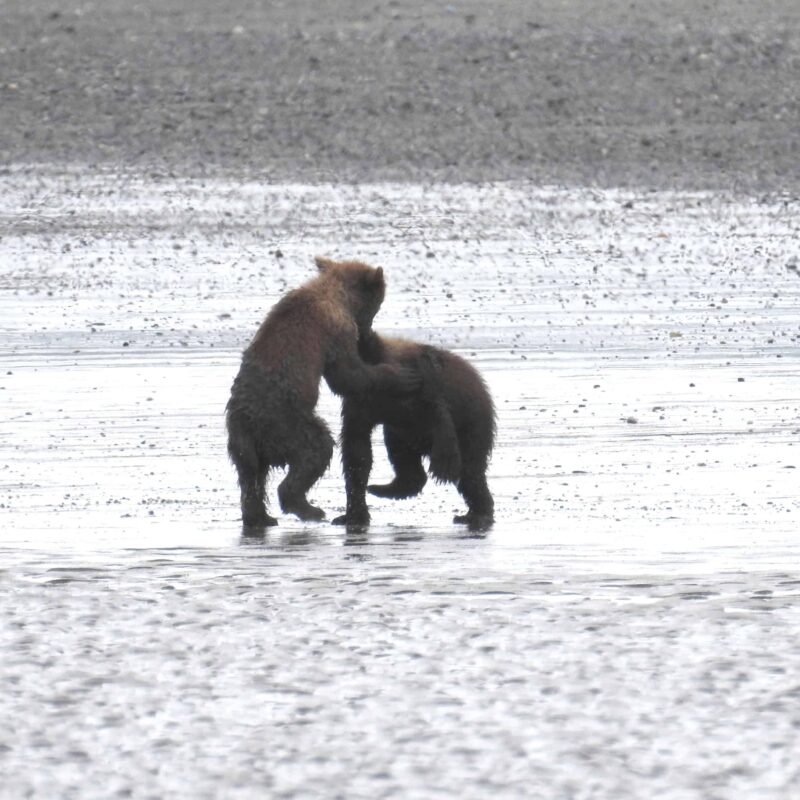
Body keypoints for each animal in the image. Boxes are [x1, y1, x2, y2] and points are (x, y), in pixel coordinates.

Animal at [226, 257, 417, 529]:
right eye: (378, 304)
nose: (367, 331)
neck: (336, 294)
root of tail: (249, 424)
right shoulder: (335, 328)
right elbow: (347, 374)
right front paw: (401, 376)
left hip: (242, 440)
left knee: (250, 476)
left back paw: (260, 517)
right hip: (287, 423)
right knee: (316, 449)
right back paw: (308, 508)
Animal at [332, 329, 495, 530]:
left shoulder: (417, 380)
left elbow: (437, 410)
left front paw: (444, 465)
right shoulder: (362, 405)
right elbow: (357, 450)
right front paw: (352, 515)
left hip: (471, 420)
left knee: (470, 469)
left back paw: (478, 514)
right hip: (404, 434)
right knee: (403, 456)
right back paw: (386, 488)